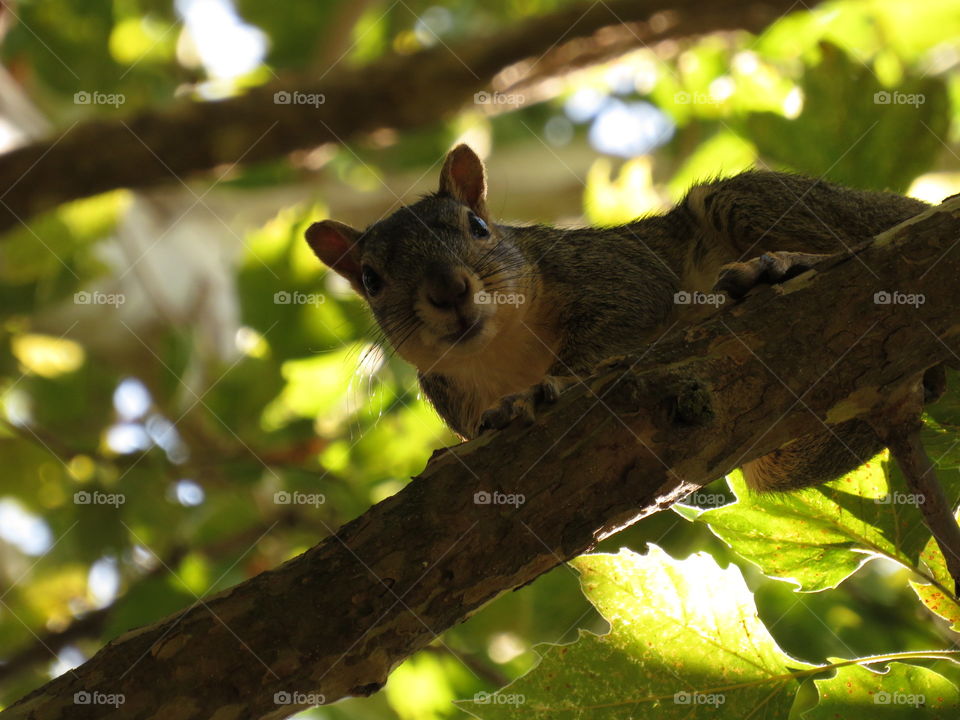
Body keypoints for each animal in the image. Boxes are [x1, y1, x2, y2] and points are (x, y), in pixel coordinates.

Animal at [305, 144, 929, 492]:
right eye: (371, 280)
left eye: (478, 227)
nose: (448, 289)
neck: (504, 351)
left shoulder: (613, 272)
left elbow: (617, 325)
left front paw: (544, 387)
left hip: (763, 202)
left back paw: (782, 265)